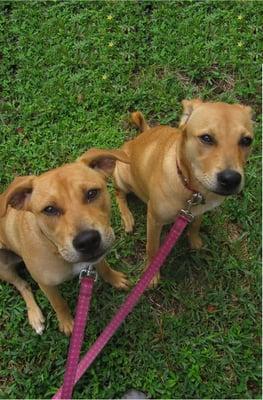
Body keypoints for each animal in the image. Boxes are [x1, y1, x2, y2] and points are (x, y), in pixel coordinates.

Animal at [0, 147, 131, 334]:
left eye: (92, 193)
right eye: (49, 209)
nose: (87, 241)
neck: (55, 248)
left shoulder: (96, 257)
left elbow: (104, 267)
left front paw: (114, 278)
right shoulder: (46, 284)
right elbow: (58, 303)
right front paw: (67, 323)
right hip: (2, 267)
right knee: (22, 285)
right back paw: (35, 316)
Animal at [114, 98, 255, 286]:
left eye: (246, 140)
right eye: (206, 138)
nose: (231, 179)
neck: (190, 187)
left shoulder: (198, 210)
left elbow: (195, 225)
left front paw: (194, 241)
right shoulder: (154, 219)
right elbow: (152, 248)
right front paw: (151, 274)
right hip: (121, 174)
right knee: (119, 194)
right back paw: (127, 216)